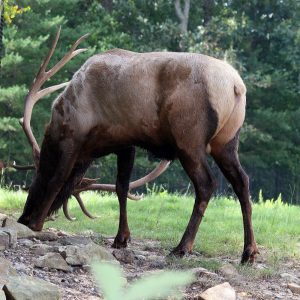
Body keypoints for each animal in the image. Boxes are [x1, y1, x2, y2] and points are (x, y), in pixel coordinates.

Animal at [18, 27, 258, 262]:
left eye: (35, 182)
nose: (23, 217)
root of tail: (236, 86)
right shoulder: (125, 142)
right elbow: (121, 187)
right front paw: (121, 238)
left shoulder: (74, 136)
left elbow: (58, 179)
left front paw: (36, 223)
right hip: (225, 143)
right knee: (242, 181)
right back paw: (249, 252)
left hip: (189, 139)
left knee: (206, 185)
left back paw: (182, 247)